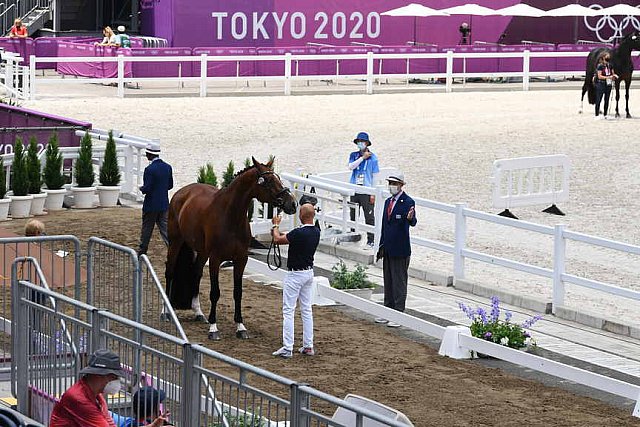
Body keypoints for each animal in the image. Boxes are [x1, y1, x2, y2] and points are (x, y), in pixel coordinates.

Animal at [164, 157, 296, 342]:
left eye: (278, 178)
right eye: (268, 181)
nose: (292, 204)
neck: (230, 216)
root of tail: (182, 192)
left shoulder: (241, 259)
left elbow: (238, 293)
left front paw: (240, 327)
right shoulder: (215, 259)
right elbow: (215, 292)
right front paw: (213, 328)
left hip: (202, 252)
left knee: (196, 273)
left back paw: (198, 312)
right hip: (176, 242)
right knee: (169, 271)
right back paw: (166, 312)